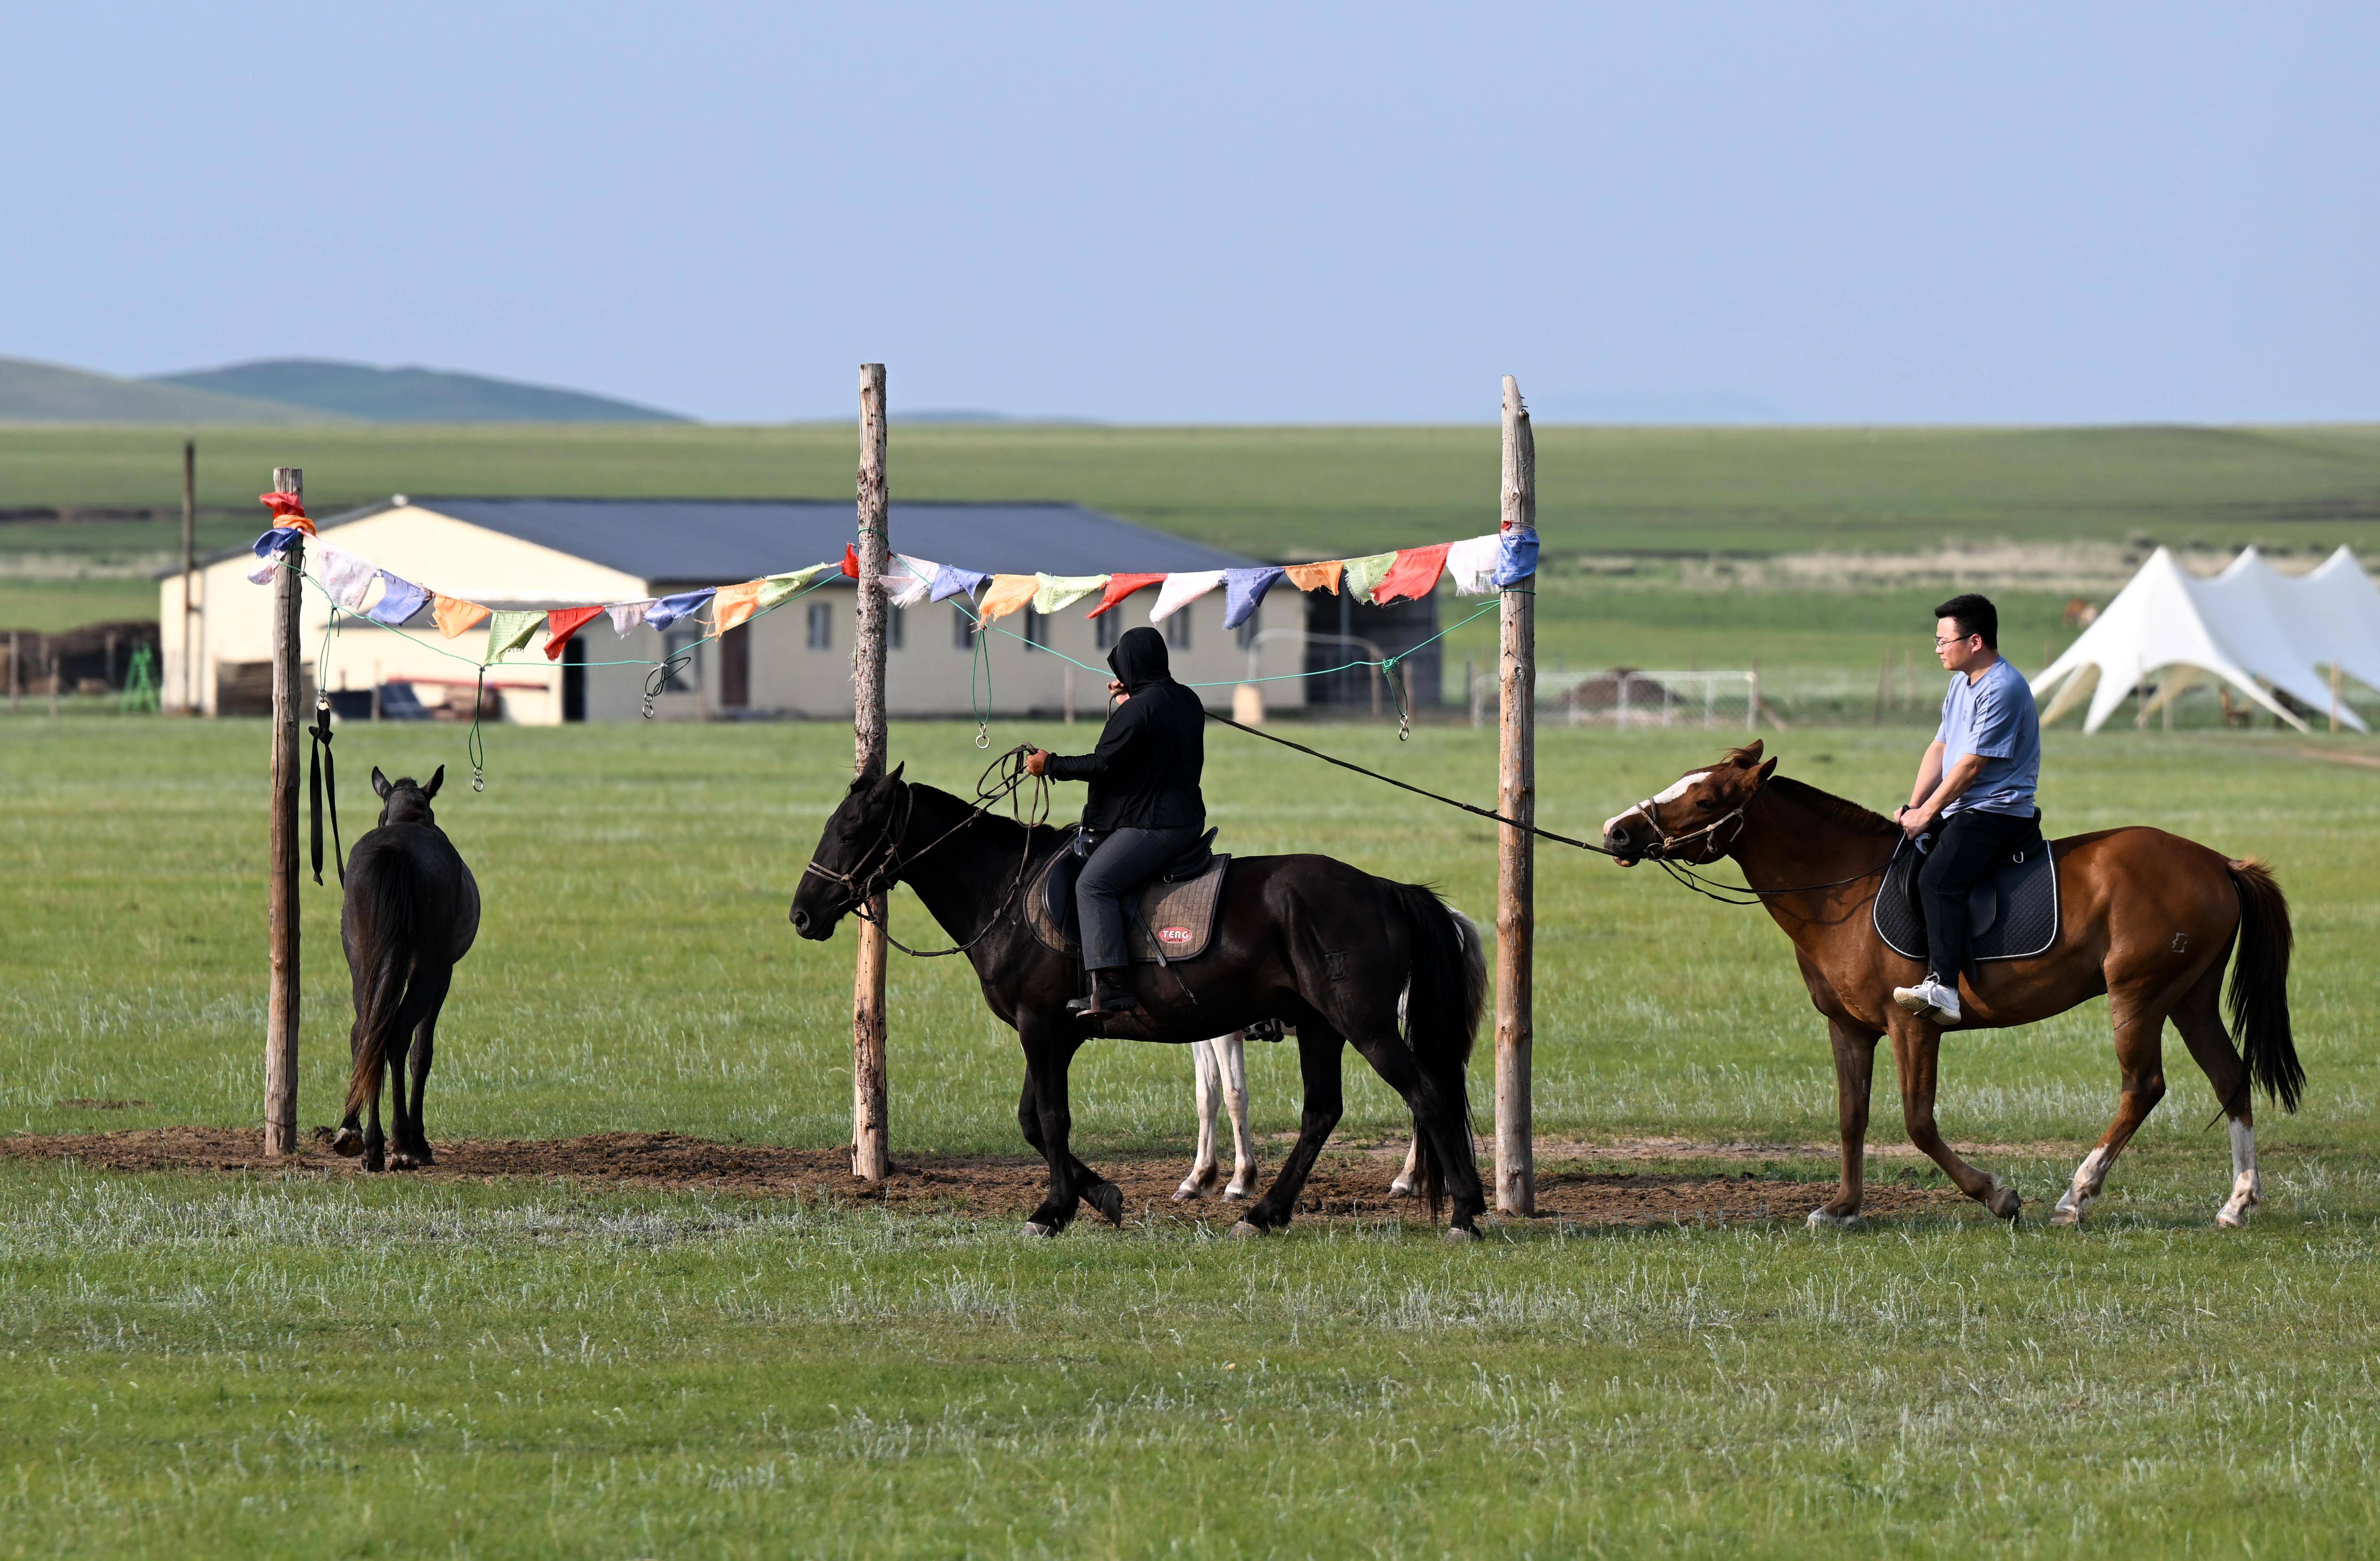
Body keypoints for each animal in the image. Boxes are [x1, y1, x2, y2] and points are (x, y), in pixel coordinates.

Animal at [331, 766, 478, 1171]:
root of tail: (395, 852)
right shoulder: (443, 973)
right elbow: (421, 1051)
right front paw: (420, 1141)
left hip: (362, 959)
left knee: (366, 1030)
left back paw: (362, 1138)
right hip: (428, 968)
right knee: (397, 1035)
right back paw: (401, 1143)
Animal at [790, 766, 1485, 1247]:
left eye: (849, 830)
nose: (801, 915)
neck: (1008, 892)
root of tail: (1385, 889)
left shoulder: (1042, 1030)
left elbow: (1052, 1119)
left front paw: (1053, 1210)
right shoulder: (1055, 1035)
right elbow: (1031, 1121)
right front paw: (1101, 1194)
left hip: (1364, 1025)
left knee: (1427, 1096)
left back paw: (1465, 1213)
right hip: (1321, 1026)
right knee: (1321, 1113)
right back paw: (1265, 1214)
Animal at [1599, 742, 2304, 1227]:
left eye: (1707, 799)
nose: (1616, 830)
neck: (1843, 889)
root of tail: (2215, 861)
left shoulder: (1912, 1025)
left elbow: (1917, 1122)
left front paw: (1998, 1195)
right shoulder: (1849, 1028)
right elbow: (1851, 1115)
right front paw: (1842, 1206)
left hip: (2140, 996)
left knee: (2144, 1087)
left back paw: (2075, 1197)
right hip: (2189, 997)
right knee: (2229, 1077)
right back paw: (2237, 1203)